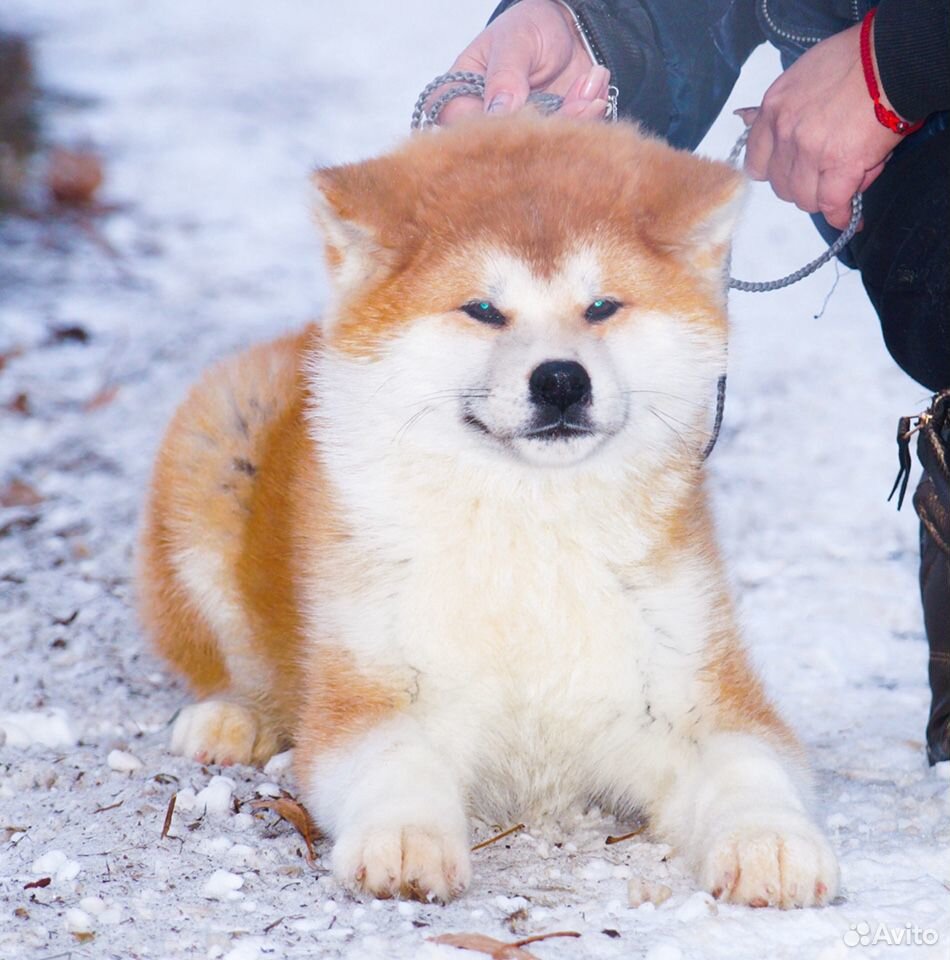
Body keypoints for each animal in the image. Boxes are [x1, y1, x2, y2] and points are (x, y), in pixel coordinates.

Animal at [139, 114, 840, 908]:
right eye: (482, 309)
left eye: (601, 306)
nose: (561, 379)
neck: (528, 533)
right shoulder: (372, 689)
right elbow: (395, 762)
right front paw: (404, 838)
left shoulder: (694, 689)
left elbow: (750, 764)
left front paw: (772, 844)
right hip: (216, 446)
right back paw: (235, 717)